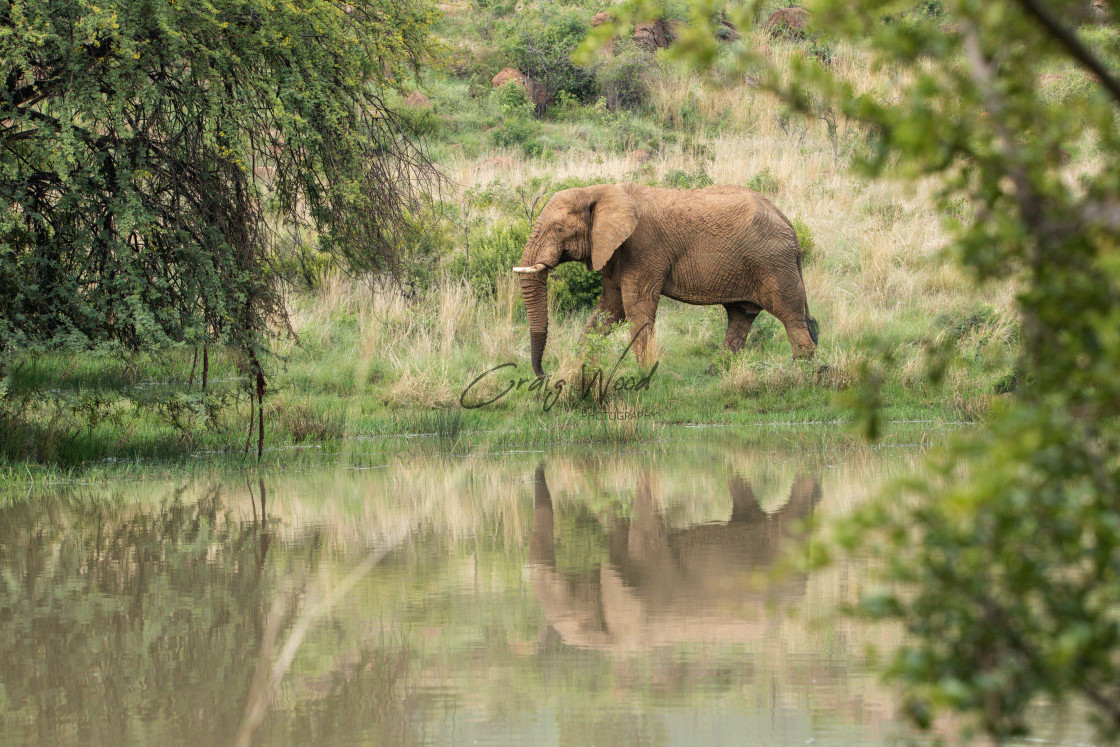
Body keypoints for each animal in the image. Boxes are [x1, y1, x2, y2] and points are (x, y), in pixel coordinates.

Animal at [512, 181, 819, 380]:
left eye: (559, 229)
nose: (544, 374)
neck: (597, 190)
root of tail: (789, 224)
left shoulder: (643, 248)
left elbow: (636, 307)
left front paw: (644, 374)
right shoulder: (615, 252)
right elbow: (609, 310)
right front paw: (577, 369)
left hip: (773, 263)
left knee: (789, 313)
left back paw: (803, 371)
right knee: (741, 315)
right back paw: (715, 372)